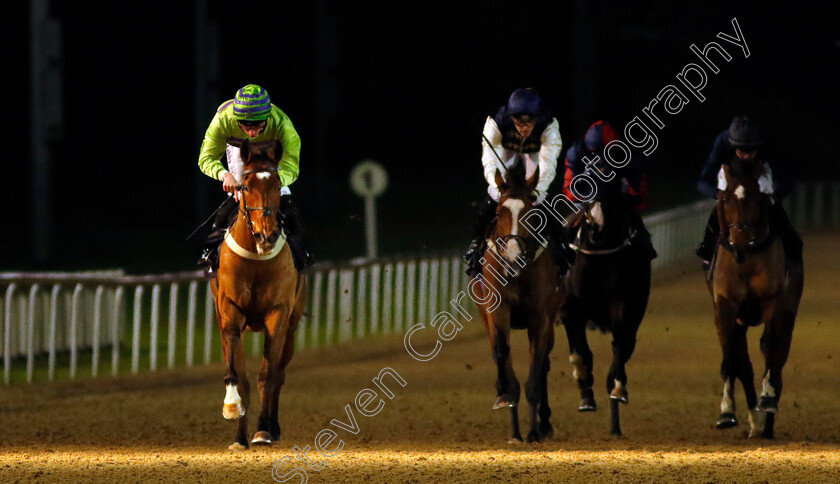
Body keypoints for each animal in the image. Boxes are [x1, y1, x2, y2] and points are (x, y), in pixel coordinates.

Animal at [212, 139, 306, 450]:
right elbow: (237, 376)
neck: (255, 259)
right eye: (244, 186)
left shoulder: (278, 314)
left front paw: (264, 429)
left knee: (279, 373)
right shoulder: (229, 312)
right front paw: (234, 414)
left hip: (292, 323)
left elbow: (268, 374)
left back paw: (272, 427)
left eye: (277, 184)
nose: (267, 236)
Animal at [472, 166, 564, 442]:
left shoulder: (542, 318)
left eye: (532, 215)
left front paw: (534, 431)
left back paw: (544, 423)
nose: (512, 257)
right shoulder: (498, 309)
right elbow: (502, 351)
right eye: (498, 212)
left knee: (544, 362)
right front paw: (506, 398)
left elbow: (536, 366)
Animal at [560, 180, 652, 436]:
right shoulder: (572, 308)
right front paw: (585, 393)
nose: (597, 228)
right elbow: (579, 353)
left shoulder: (624, 305)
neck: (599, 257)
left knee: (626, 343)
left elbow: (620, 344)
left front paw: (617, 387)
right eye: (584, 187)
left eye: (611, 191)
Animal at [704, 159, 804, 438]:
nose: (739, 243)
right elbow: (730, 356)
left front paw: (767, 398)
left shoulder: (772, 301)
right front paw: (727, 412)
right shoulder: (725, 306)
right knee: (743, 363)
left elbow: (770, 346)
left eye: (757, 199)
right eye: (725, 198)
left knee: (778, 358)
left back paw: (767, 422)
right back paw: (755, 422)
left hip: (788, 315)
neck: (745, 259)